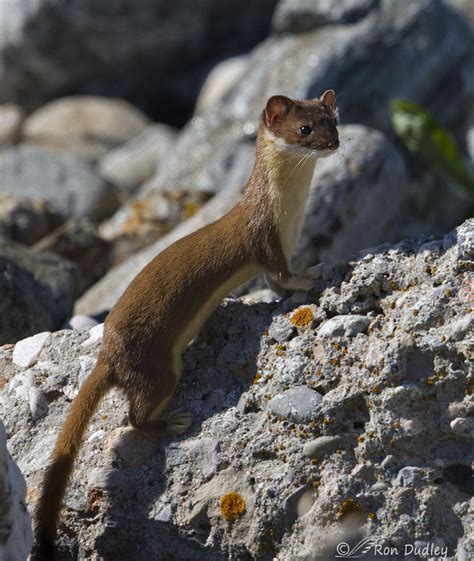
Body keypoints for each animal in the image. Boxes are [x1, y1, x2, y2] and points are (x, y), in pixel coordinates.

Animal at [31, 89, 338, 556]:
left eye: (333, 120)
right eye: (304, 129)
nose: (333, 143)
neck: (291, 214)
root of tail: (108, 353)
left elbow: (276, 286)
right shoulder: (267, 241)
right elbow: (283, 279)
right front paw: (313, 274)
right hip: (158, 368)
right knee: (135, 415)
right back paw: (172, 422)